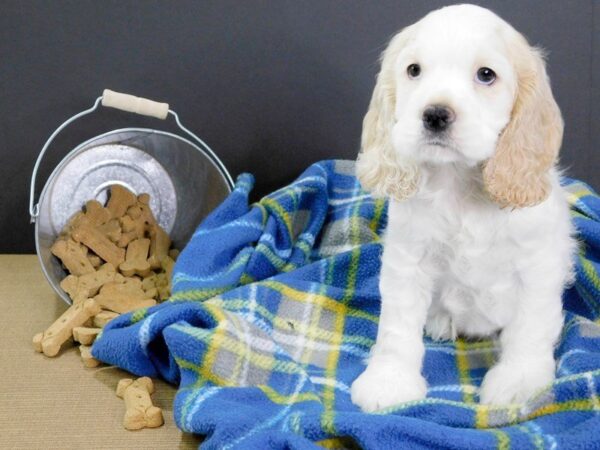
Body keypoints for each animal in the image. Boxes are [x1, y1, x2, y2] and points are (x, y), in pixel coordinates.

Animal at [352, 3, 576, 412]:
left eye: (486, 75)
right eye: (414, 70)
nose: (435, 114)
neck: (458, 182)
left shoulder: (537, 267)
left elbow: (530, 328)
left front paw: (519, 380)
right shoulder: (408, 261)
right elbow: (396, 328)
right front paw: (389, 380)